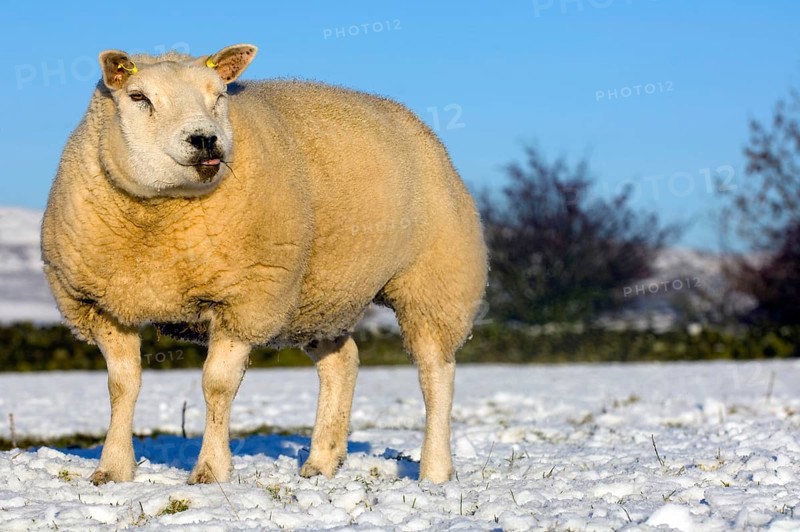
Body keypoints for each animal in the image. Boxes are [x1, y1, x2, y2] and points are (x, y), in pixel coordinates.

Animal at [41, 44, 488, 486]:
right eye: (138, 97)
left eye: (220, 95)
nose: (205, 140)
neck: (158, 222)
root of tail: (410, 120)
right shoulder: (102, 306)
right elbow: (122, 385)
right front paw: (112, 469)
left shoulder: (244, 300)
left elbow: (217, 386)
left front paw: (211, 471)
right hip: (319, 296)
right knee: (342, 362)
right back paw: (321, 462)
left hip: (435, 280)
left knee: (435, 373)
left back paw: (434, 471)